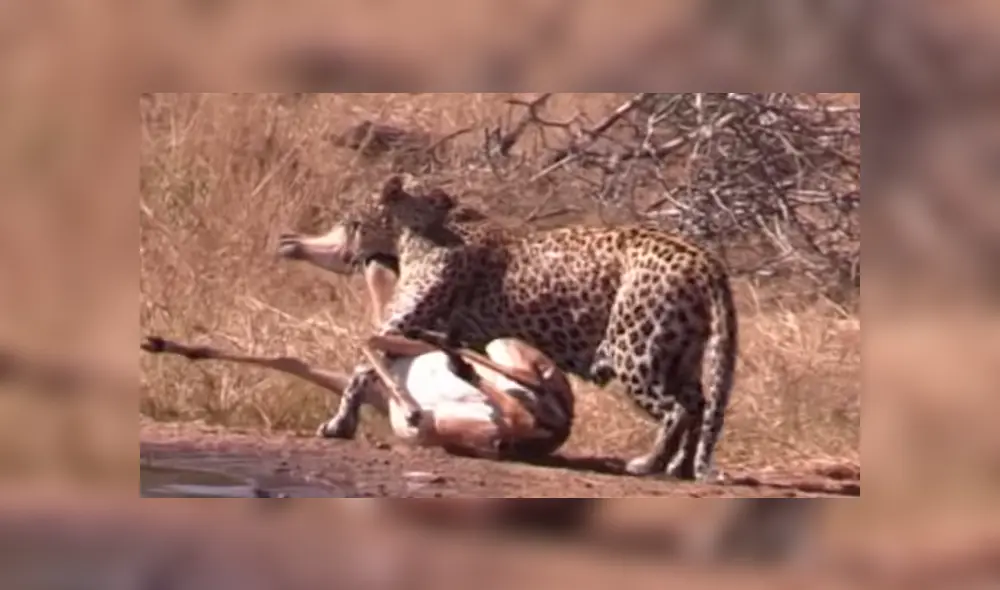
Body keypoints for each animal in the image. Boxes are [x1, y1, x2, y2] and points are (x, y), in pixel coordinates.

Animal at [277, 175, 738, 481]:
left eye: (352, 221)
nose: (292, 241)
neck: (415, 229)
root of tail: (706, 260)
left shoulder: (402, 327)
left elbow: (360, 365)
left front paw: (339, 425)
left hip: (637, 354)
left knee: (677, 409)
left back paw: (650, 464)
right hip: (677, 354)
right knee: (699, 404)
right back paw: (680, 466)